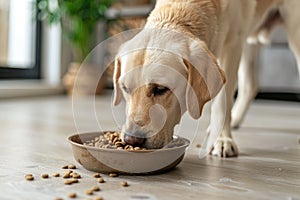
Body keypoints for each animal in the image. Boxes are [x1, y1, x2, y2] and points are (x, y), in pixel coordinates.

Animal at [112, 0, 300, 157]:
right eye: (125, 88)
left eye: (160, 89)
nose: (131, 140)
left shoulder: (232, 46)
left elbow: (222, 102)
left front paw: (221, 140)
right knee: (250, 85)